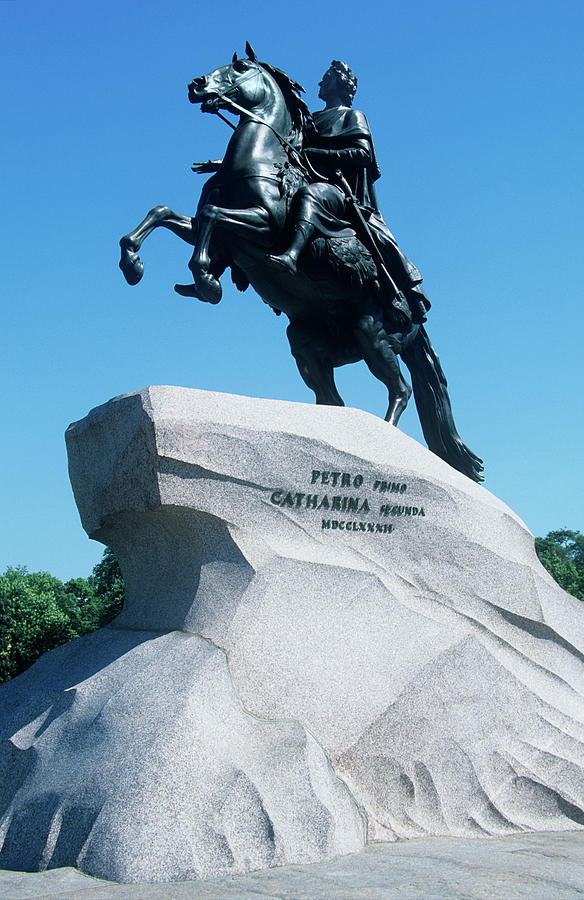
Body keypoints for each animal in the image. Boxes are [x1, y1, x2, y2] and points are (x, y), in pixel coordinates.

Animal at [120, 47, 484, 486]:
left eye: (240, 67)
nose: (196, 85)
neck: (261, 158)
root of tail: (417, 315)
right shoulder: (219, 236)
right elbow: (164, 213)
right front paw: (133, 263)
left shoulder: (261, 224)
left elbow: (211, 216)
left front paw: (207, 281)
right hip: (308, 345)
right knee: (333, 399)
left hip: (372, 333)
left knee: (400, 389)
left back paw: (385, 439)